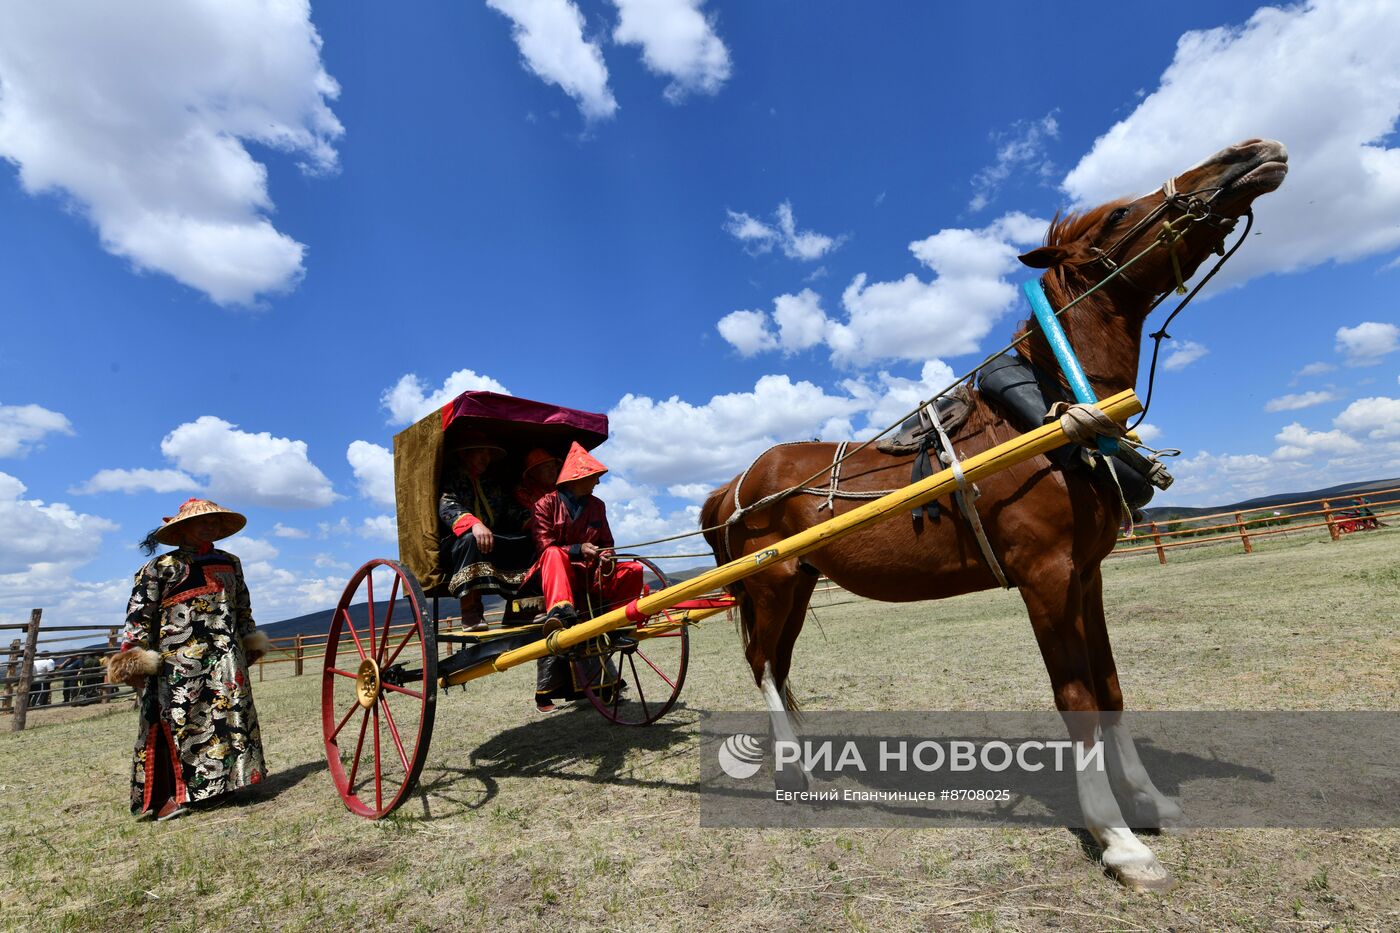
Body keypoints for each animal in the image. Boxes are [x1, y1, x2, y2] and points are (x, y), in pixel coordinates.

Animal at [700, 136, 1288, 885]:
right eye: (1119, 213)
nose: (1250, 152)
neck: (1046, 418)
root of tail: (736, 482)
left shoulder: (1086, 574)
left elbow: (1110, 688)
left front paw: (1149, 800)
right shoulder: (1045, 575)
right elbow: (1076, 701)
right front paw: (1118, 838)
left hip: (797, 584)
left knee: (775, 664)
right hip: (771, 584)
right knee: (760, 664)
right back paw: (791, 774)